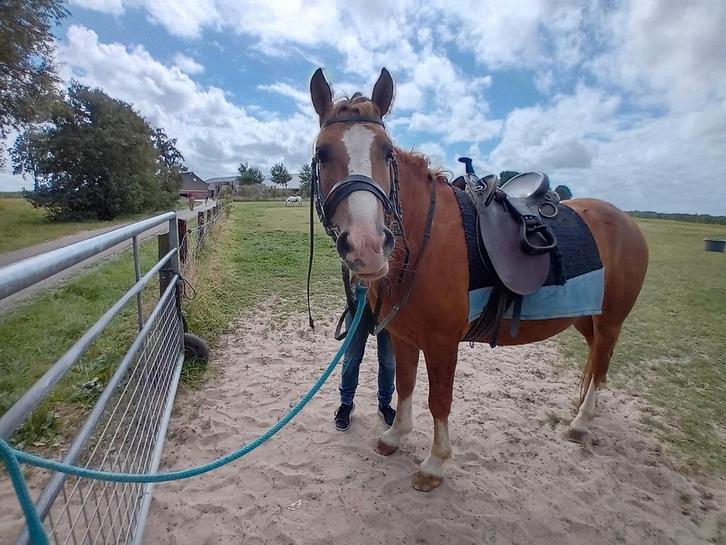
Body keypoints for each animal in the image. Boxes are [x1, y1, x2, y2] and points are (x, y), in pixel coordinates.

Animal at [309, 68, 649, 491]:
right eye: (322, 154)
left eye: (386, 152)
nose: (367, 245)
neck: (426, 240)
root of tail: (626, 222)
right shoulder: (404, 336)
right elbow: (405, 385)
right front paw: (394, 436)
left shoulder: (442, 343)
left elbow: (439, 399)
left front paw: (434, 464)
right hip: (586, 317)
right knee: (594, 361)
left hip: (610, 321)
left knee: (601, 364)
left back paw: (581, 423)